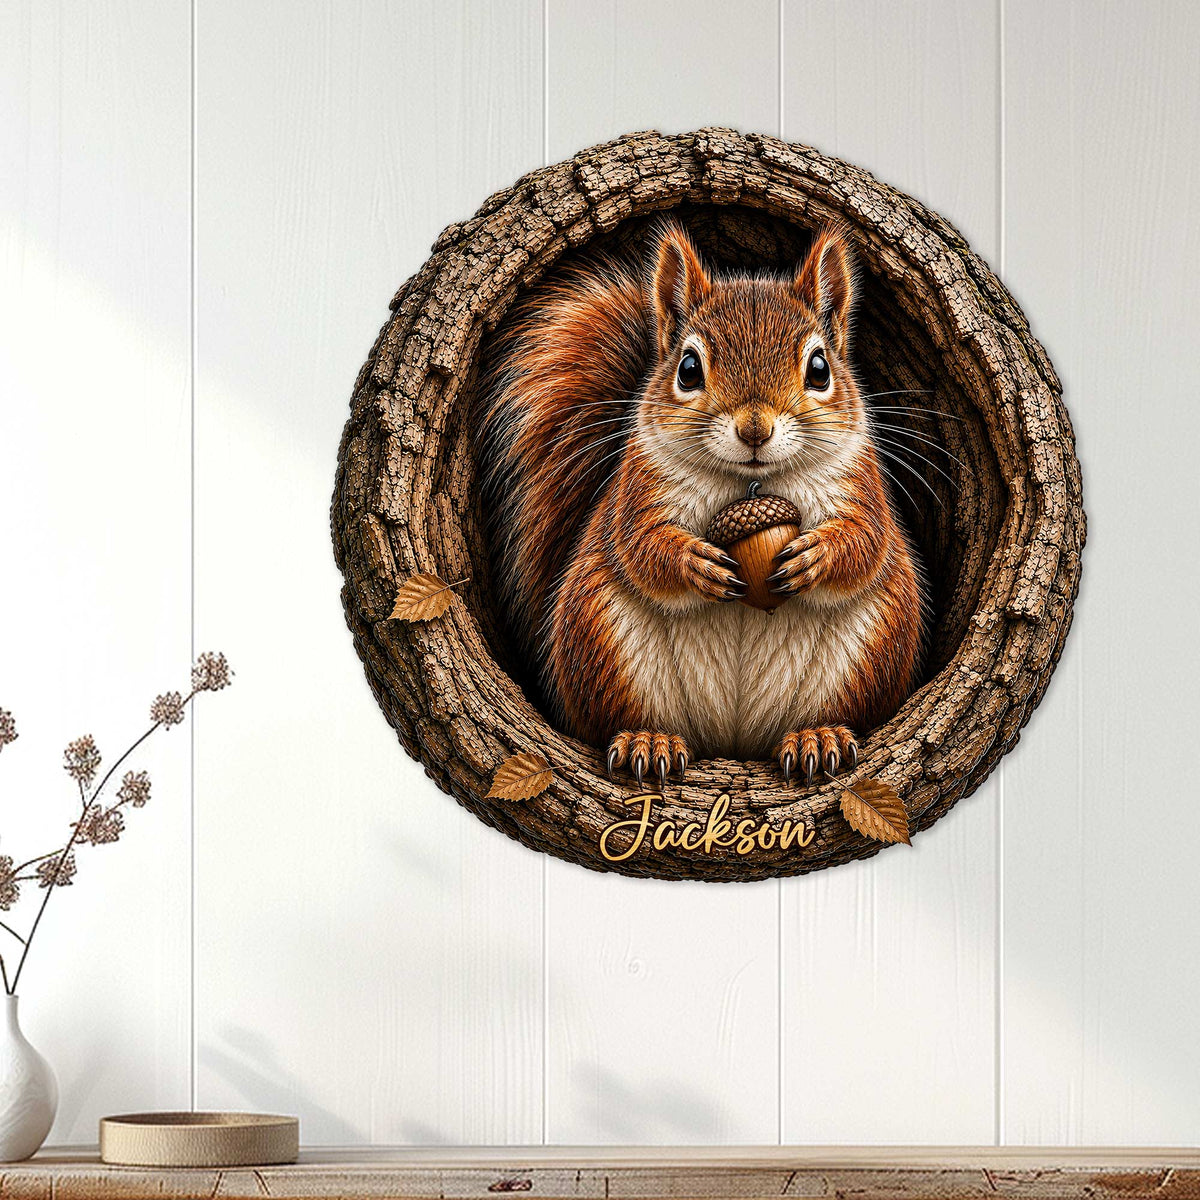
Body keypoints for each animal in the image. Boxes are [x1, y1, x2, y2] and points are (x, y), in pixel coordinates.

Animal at [479, 221, 926, 788]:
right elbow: (640, 547)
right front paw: (695, 563)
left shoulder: (861, 483)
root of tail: (733, 742)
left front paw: (816, 555)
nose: (755, 428)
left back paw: (816, 736)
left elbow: (866, 542)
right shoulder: (638, 488)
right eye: (688, 369)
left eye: (820, 369)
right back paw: (648, 739)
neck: (749, 485)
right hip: (604, 642)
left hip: (872, 649)